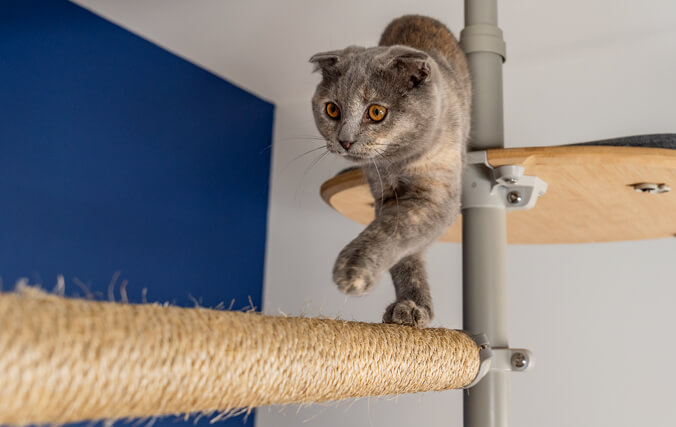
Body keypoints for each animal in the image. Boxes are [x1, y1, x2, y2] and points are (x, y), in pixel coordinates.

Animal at [312, 14, 470, 328]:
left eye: (376, 112)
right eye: (332, 110)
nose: (345, 140)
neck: (399, 163)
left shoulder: (438, 194)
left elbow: (394, 228)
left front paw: (353, 269)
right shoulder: (384, 193)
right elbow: (405, 255)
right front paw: (409, 307)